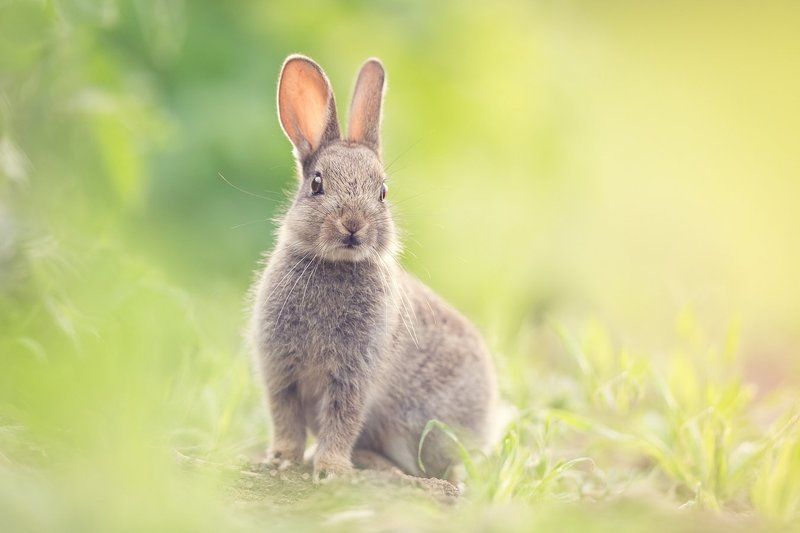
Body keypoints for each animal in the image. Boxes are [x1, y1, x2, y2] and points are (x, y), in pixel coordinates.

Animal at [249, 55, 497, 482]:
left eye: (382, 192)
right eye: (317, 184)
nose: (353, 225)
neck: (335, 265)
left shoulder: (354, 373)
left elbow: (342, 419)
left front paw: (331, 470)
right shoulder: (282, 370)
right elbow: (286, 418)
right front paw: (282, 459)